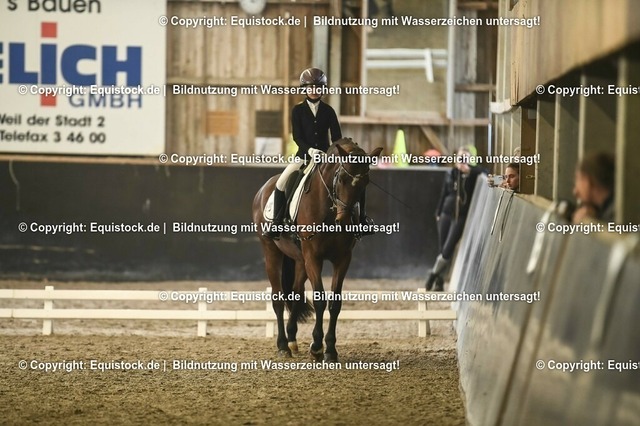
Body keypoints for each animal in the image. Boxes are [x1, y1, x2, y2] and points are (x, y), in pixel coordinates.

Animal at [252, 138, 383, 362]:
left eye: (365, 183)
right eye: (341, 179)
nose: (344, 221)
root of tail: (263, 189)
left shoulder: (342, 258)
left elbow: (335, 303)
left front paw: (330, 350)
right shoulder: (313, 257)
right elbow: (320, 299)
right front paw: (316, 348)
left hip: (300, 259)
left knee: (296, 293)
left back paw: (292, 340)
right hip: (272, 251)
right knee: (278, 299)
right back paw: (283, 346)